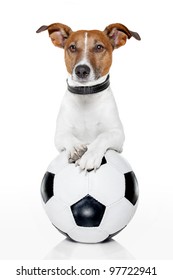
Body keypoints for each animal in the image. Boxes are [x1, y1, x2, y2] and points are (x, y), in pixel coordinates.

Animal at [36, 23, 141, 171]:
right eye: (72, 47)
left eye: (99, 47)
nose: (81, 70)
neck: (86, 95)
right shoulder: (59, 134)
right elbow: (67, 136)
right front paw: (76, 148)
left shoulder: (118, 135)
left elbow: (103, 136)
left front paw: (90, 155)